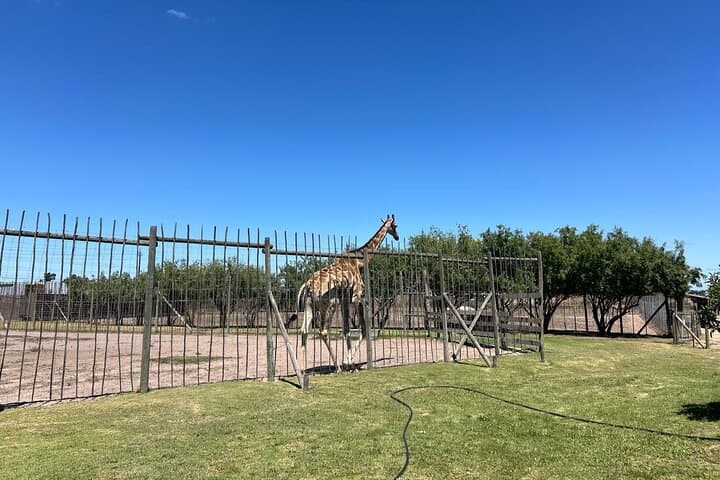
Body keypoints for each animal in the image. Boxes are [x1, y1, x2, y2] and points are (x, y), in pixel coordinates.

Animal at [291, 215, 399, 371]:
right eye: (395, 226)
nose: (397, 237)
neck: (359, 262)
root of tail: (307, 285)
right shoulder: (357, 297)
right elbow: (363, 330)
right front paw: (347, 362)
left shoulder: (345, 301)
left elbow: (347, 329)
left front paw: (350, 364)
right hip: (329, 304)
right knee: (323, 331)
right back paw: (337, 367)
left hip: (309, 305)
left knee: (304, 329)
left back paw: (301, 368)